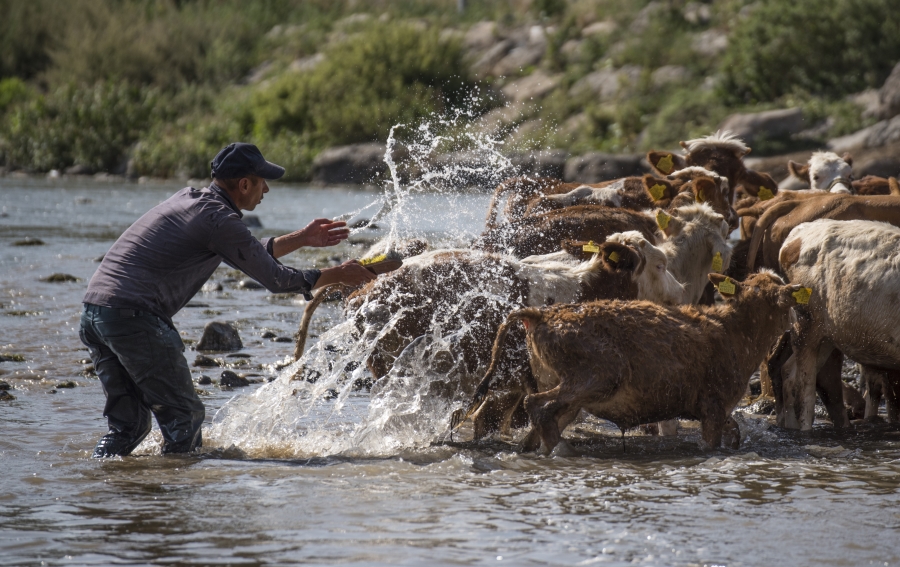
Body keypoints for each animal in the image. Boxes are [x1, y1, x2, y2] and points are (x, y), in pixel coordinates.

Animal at [468, 272, 804, 454]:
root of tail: (540, 314)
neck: (736, 332)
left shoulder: (714, 407)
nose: (796, 323)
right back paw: (564, 450)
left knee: (539, 425)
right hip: (599, 376)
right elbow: (713, 442)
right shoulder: (713, 404)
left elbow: (734, 432)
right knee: (536, 405)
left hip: (560, 382)